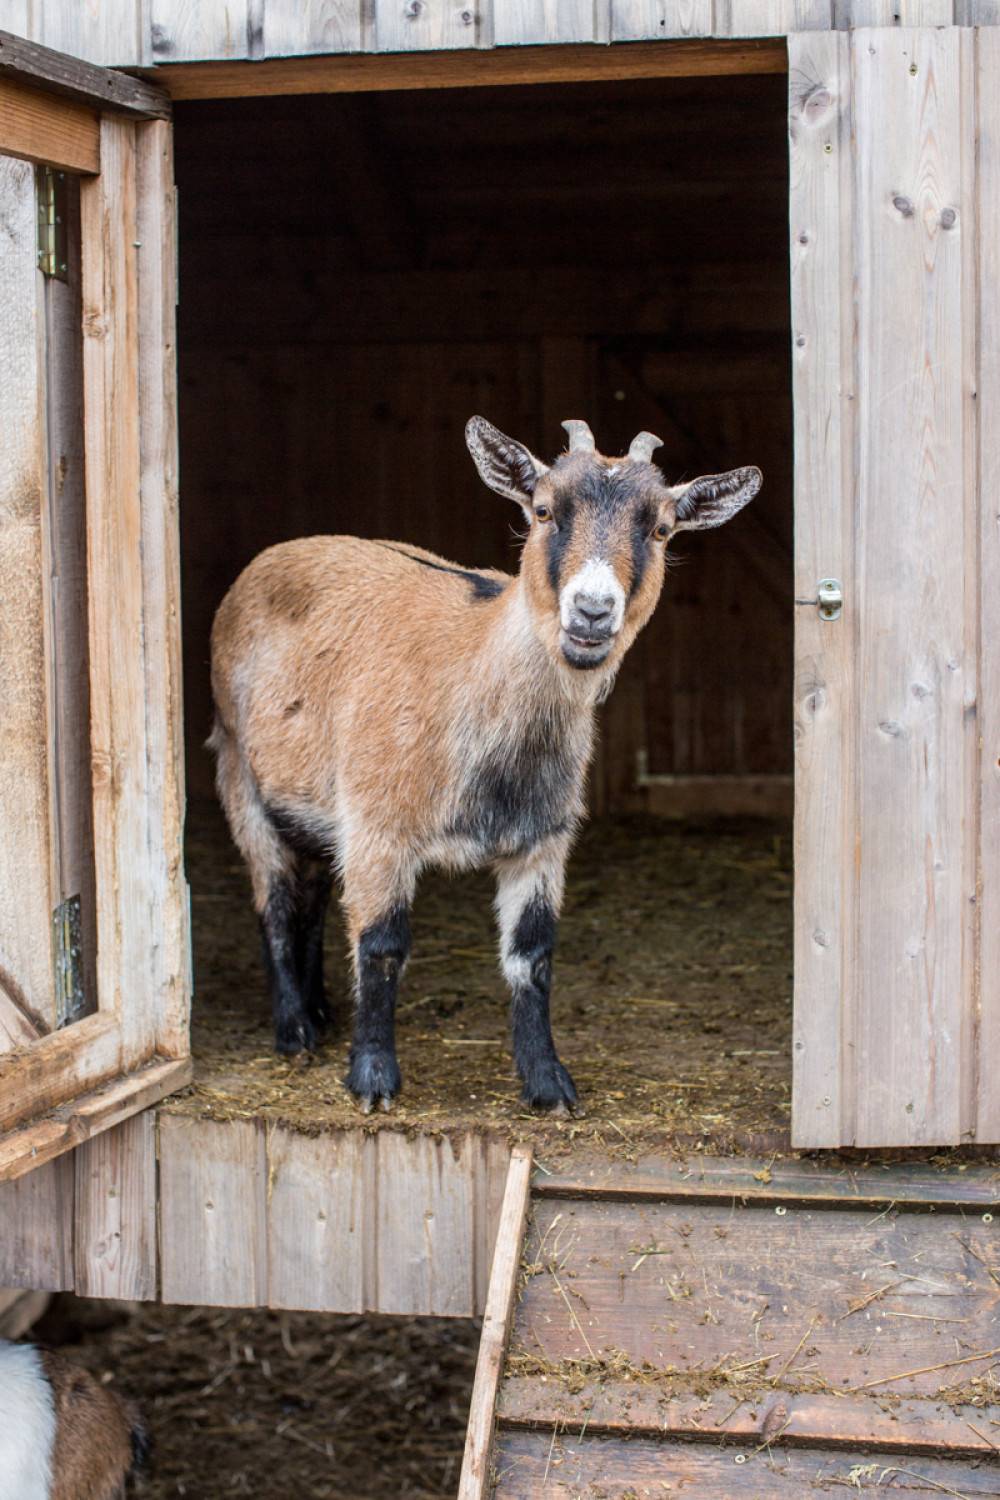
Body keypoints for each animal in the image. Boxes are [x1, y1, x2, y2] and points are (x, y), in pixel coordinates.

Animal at [211, 417, 758, 1110]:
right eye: (545, 509)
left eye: (660, 529)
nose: (592, 610)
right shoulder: (377, 826)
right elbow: (381, 946)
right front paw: (373, 1080)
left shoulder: (543, 839)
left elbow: (533, 956)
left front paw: (548, 1083)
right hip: (240, 770)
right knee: (275, 896)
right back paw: (294, 1029)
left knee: (307, 892)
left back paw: (320, 1013)